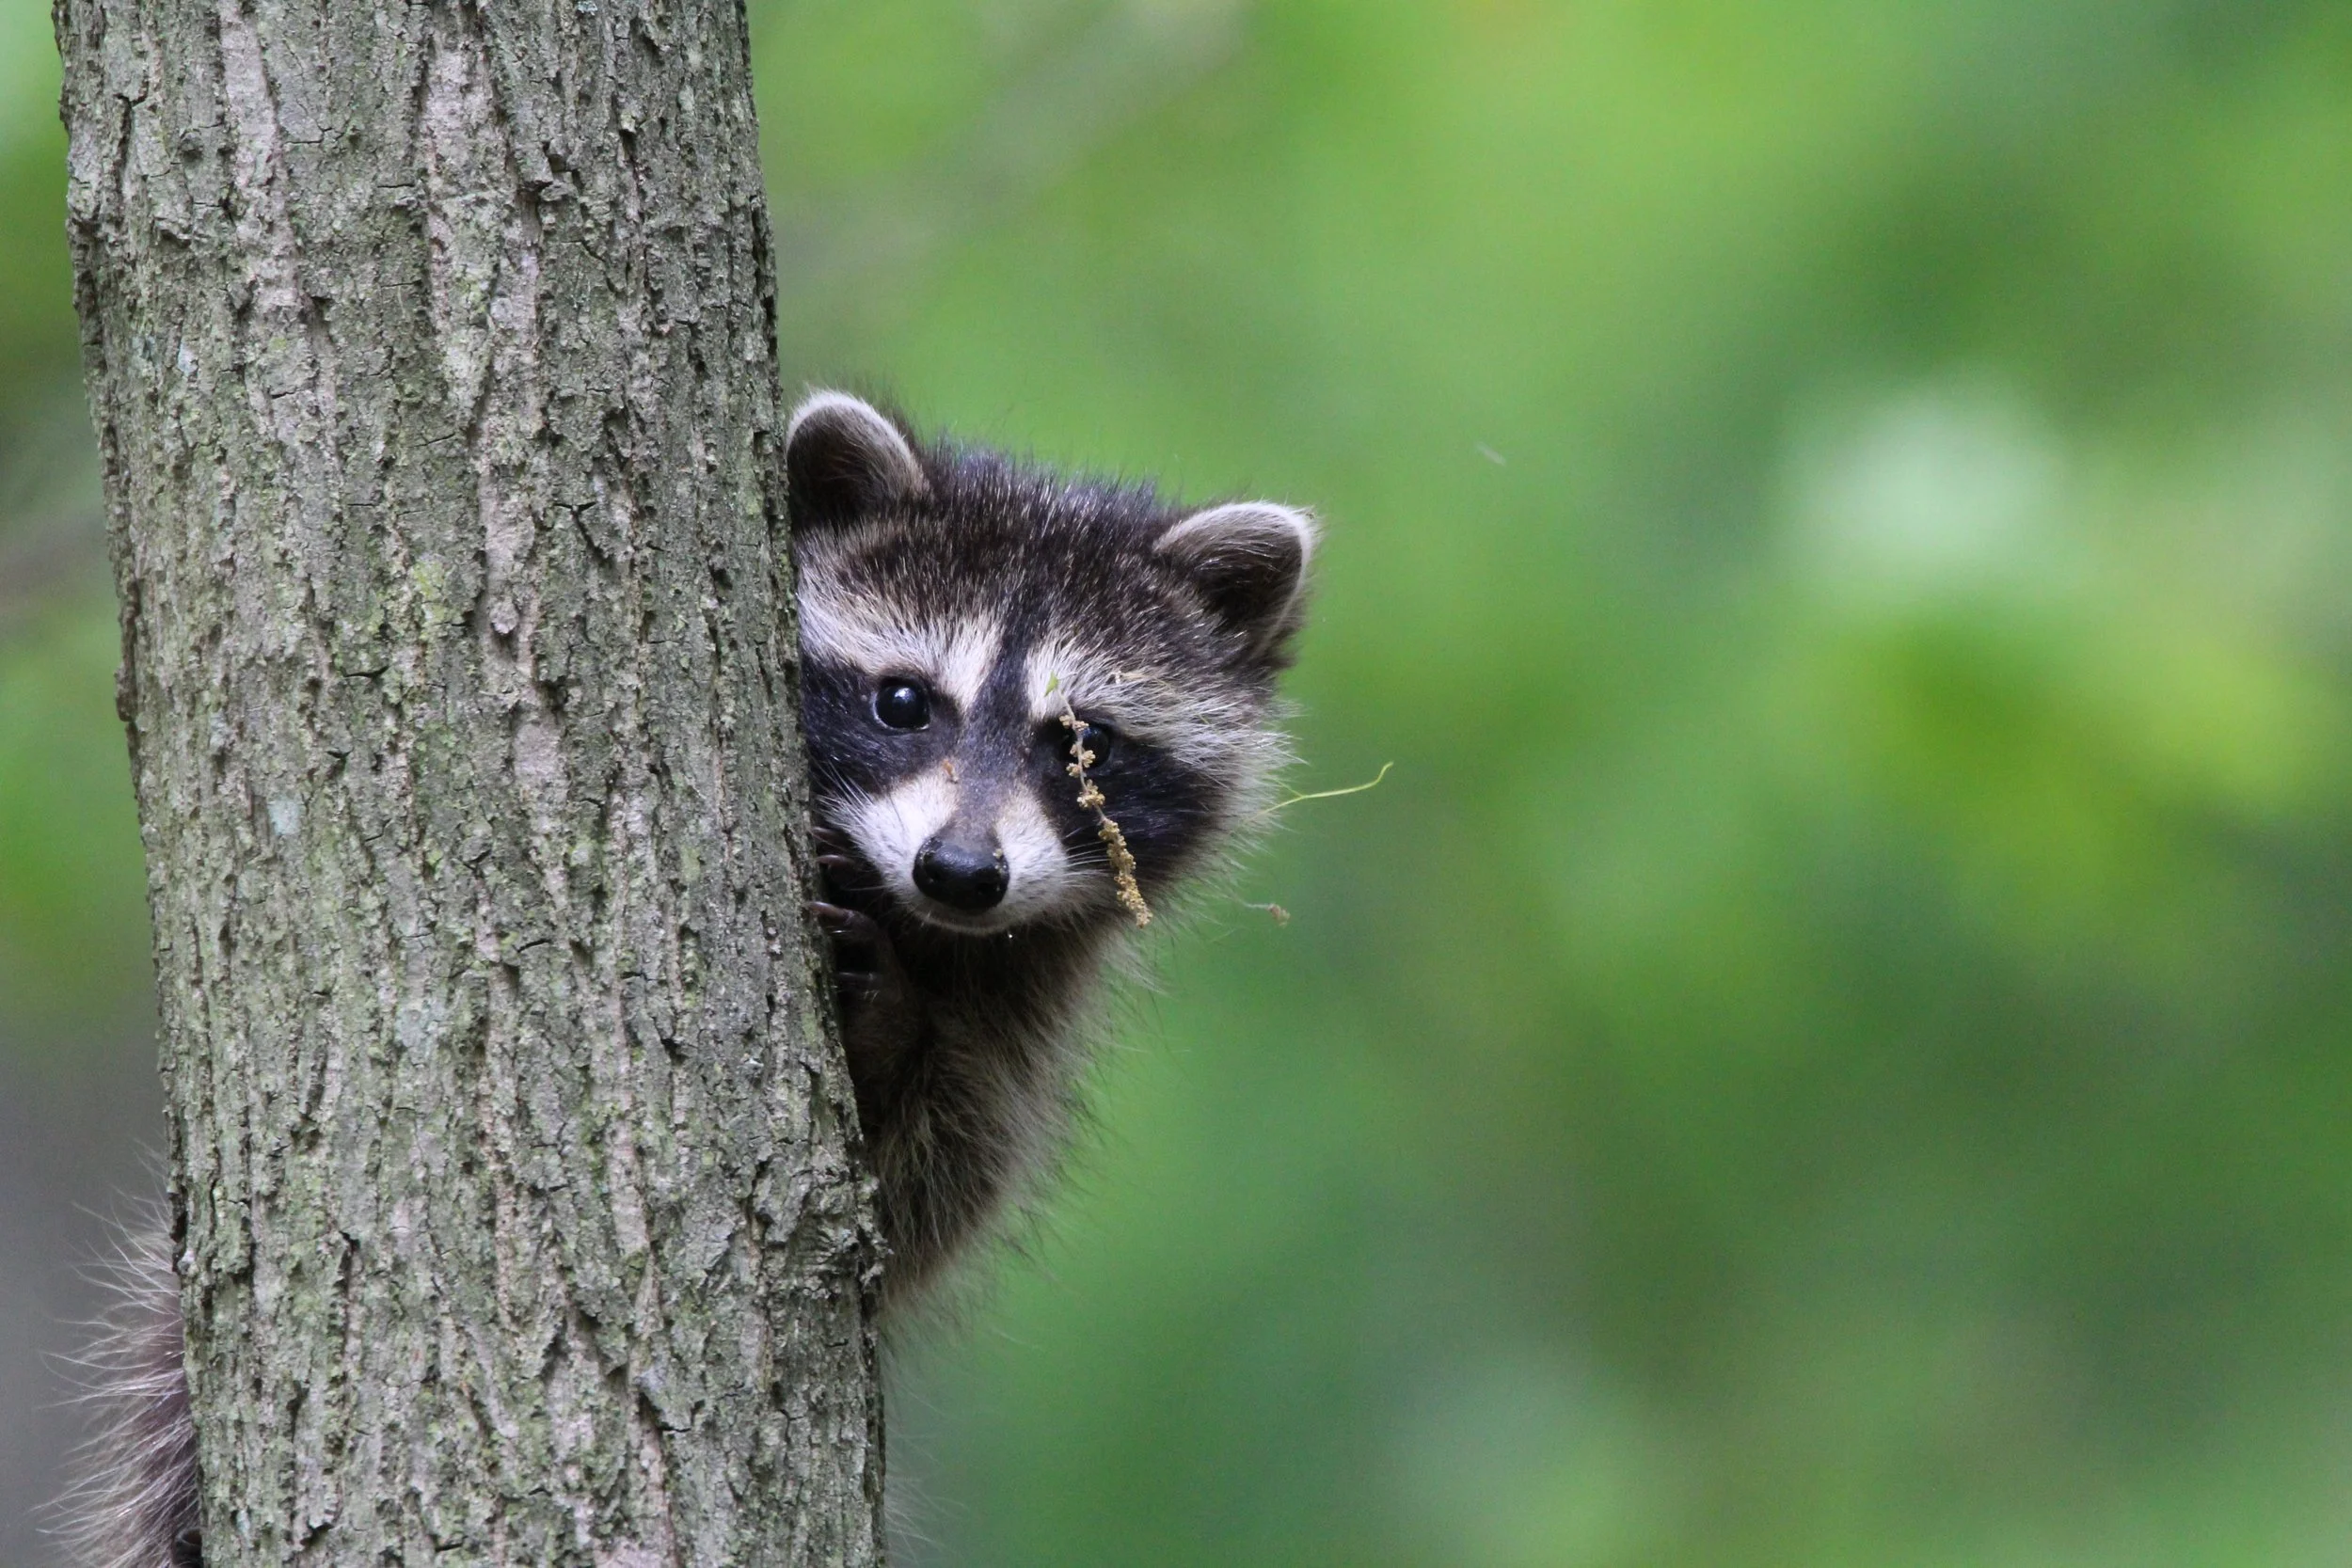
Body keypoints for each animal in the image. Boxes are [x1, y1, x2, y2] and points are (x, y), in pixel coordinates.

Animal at [64, 391, 1315, 1568]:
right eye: (905, 701)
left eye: (1080, 744)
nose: (959, 871)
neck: (918, 918)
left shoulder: (1027, 991)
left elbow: (946, 1180)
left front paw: (896, 1032)